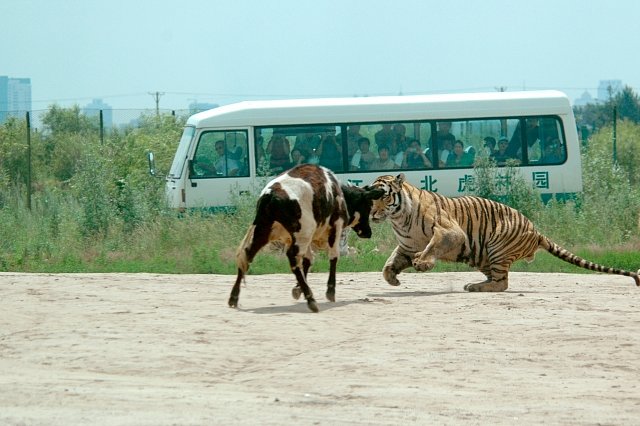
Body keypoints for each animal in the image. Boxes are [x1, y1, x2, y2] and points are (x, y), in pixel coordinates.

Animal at [228, 165, 382, 312]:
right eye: (368, 205)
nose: (368, 232)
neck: (339, 194)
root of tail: (271, 195)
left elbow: (308, 260)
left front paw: (297, 289)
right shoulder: (335, 228)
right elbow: (333, 257)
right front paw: (330, 291)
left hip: (264, 231)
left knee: (247, 255)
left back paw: (234, 297)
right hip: (301, 233)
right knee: (292, 258)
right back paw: (310, 299)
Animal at [368, 173, 640, 290]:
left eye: (383, 196)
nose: (370, 213)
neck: (398, 219)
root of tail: (536, 230)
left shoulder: (450, 232)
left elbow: (433, 245)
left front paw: (422, 263)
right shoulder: (407, 244)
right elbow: (390, 263)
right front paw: (392, 278)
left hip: (496, 246)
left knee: (502, 283)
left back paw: (474, 287)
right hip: (482, 255)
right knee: (497, 279)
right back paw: (477, 283)